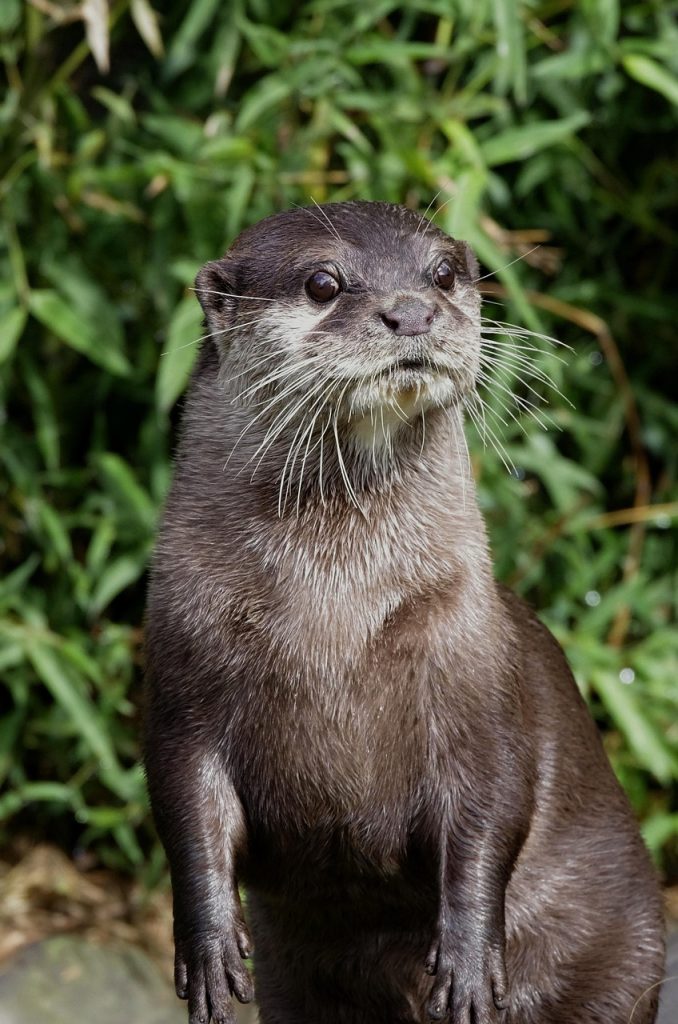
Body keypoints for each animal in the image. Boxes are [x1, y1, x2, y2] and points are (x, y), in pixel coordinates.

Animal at [144, 201, 664, 1024]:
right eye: (323, 282)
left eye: (444, 273)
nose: (413, 311)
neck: (335, 619)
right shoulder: (180, 672)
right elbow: (184, 806)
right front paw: (210, 949)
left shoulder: (472, 670)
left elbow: (492, 806)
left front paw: (469, 964)